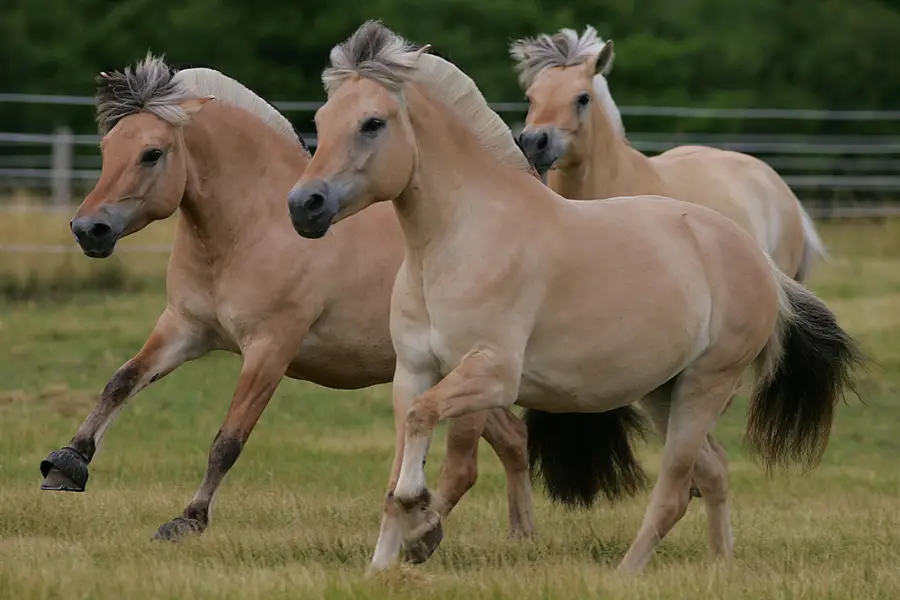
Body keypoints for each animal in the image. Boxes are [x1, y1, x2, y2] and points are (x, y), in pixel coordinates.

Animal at [40, 54, 536, 556]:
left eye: (152, 153)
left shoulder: (270, 348)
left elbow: (228, 440)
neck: (253, 226)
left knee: (473, 460)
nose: (88, 230)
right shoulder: (185, 329)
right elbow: (121, 382)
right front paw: (67, 463)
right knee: (513, 439)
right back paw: (521, 538)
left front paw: (188, 520)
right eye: (107, 148)